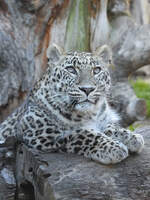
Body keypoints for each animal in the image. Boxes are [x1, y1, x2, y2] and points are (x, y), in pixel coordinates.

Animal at [0, 44, 144, 164]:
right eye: (71, 69)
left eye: (96, 70)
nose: (87, 89)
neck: (89, 114)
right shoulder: (39, 132)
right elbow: (83, 133)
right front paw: (113, 148)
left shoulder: (104, 119)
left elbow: (112, 127)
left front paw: (132, 137)